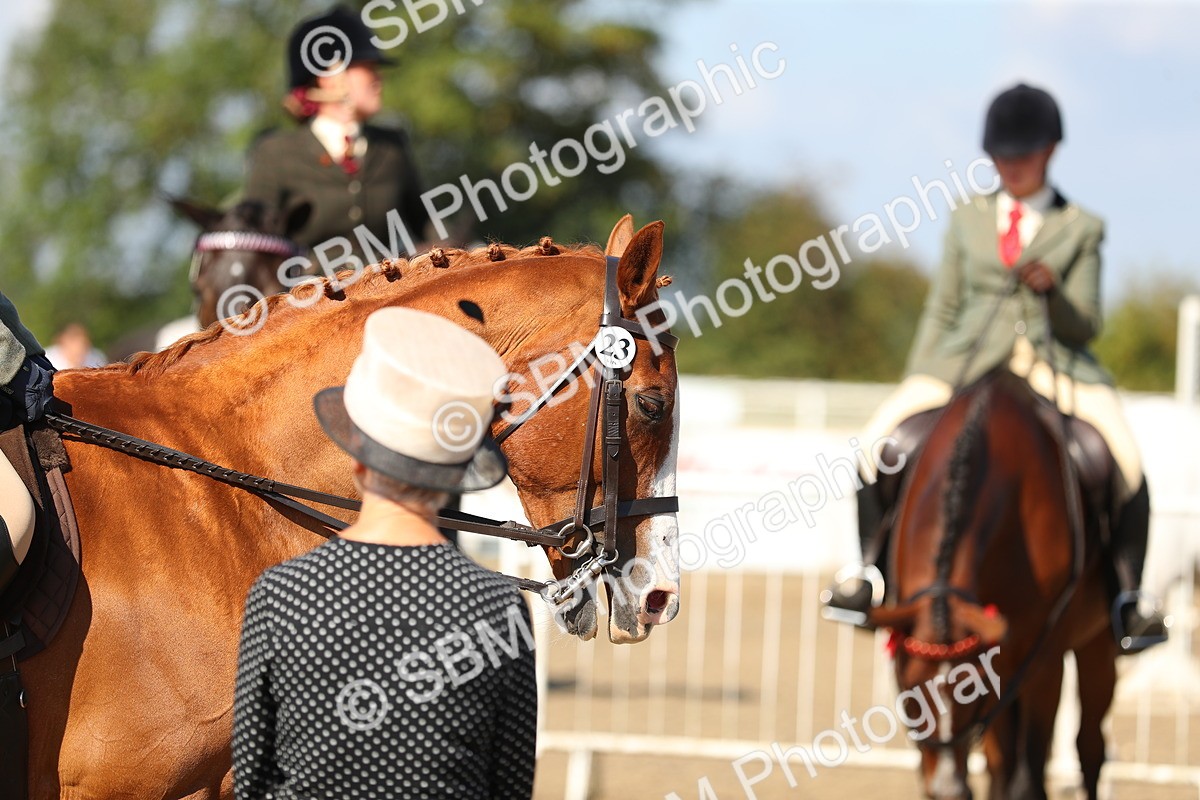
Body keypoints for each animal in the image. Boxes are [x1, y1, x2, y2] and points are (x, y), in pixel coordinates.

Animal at [868, 370, 1116, 800]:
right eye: (910, 692)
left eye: (972, 691)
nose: (948, 789)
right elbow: (1004, 764)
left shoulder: (1044, 660)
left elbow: (1029, 777)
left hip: (1095, 646)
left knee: (1089, 746)